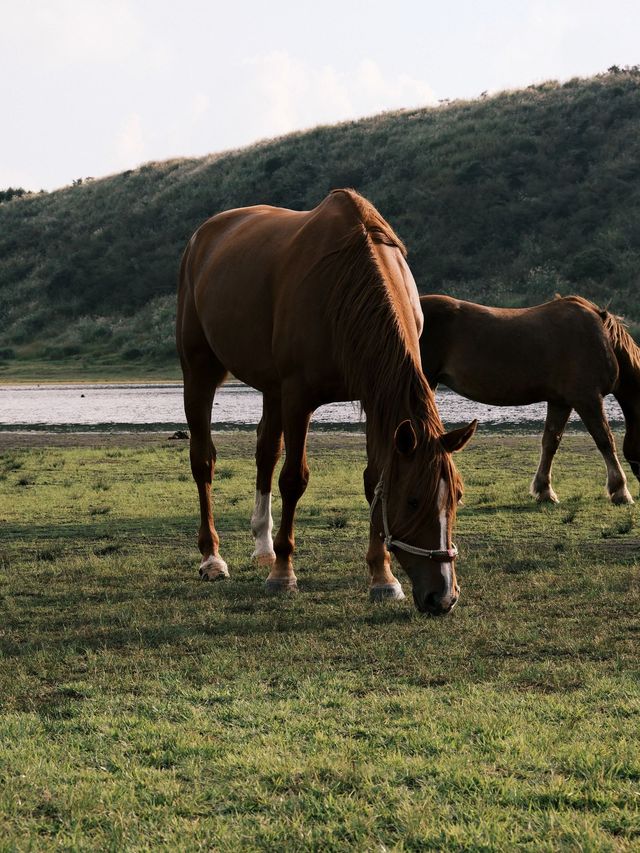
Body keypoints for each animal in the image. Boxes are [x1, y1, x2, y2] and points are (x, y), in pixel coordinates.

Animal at [175, 189, 476, 612]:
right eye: (414, 501)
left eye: (458, 498)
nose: (443, 596)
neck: (343, 285)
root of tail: (201, 237)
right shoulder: (298, 396)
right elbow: (293, 479)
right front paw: (283, 573)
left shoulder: (373, 395)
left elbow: (374, 480)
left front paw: (382, 577)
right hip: (200, 370)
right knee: (204, 461)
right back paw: (212, 558)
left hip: (271, 388)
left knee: (265, 452)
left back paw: (263, 546)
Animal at [420, 294, 640, 502]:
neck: (602, 339)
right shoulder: (587, 399)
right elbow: (605, 439)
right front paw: (621, 491)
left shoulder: (560, 402)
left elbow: (551, 442)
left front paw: (545, 490)